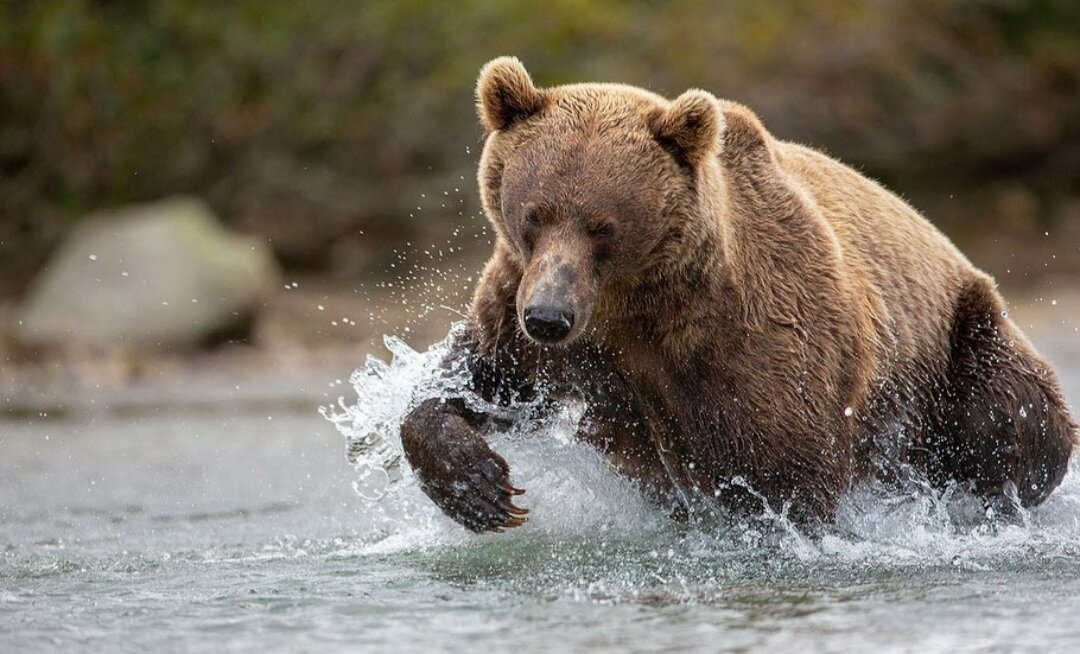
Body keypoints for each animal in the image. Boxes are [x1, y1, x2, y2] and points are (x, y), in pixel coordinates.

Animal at [401, 57, 1075, 533]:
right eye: (533, 215)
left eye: (602, 226)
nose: (548, 317)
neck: (636, 304)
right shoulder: (527, 306)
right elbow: (473, 376)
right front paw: (479, 486)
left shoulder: (752, 338)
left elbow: (782, 469)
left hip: (959, 341)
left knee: (1016, 422)